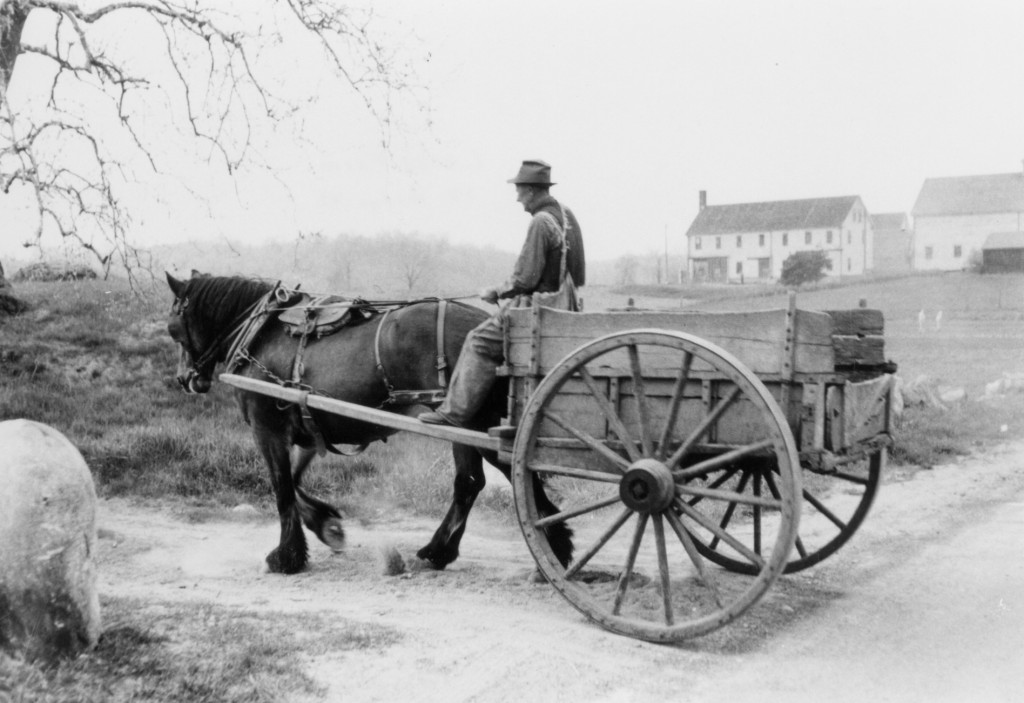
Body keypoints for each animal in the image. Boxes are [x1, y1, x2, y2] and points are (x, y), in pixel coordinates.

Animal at [163, 272, 573, 573]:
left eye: (173, 327)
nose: (185, 379)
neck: (262, 332)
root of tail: (491, 326)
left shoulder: (268, 429)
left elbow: (280, 488)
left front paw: (287, 556)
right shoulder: (307, 429)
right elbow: (294, 481)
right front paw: (326, 525)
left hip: (466, 424)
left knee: (473, 481)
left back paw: (443, 550)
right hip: (482, 426)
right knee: (512, 471)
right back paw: (554, 543)